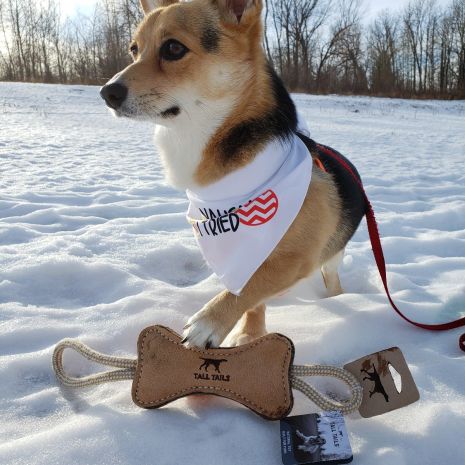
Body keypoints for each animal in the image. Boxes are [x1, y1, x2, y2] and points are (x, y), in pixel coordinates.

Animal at [100, 0, 366, 348]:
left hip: (333, 255)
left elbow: (252, 285)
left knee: (331, 277)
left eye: (173, 48)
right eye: (134, 49)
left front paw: (209, 322)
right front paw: (251, 333)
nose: (107, 93)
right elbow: (252, 295)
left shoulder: (297, 257)